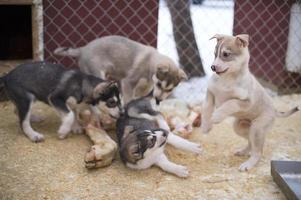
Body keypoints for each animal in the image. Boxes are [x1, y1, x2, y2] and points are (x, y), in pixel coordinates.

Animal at [52, 35, 186, 104]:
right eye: (159, 84)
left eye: (170, 90)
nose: (158, 100)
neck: (150, 64)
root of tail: (82, 49)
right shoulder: (128, 82)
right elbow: (128, 99)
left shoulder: (143, 88)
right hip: (98, 75)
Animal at [199, 33, 298, 171]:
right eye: (215, 54)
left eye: (226, 54)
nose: (212, 67)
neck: (227, 79)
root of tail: (275, 111)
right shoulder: (210, 94)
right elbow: (206, 109)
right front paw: (206, 126)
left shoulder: (246, 102)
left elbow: (230, 103)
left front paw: (217, 116)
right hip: (240, 127)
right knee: (251, 143)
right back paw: (243, 152)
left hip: (257, 128)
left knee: (258, 151)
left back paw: (248, 164)